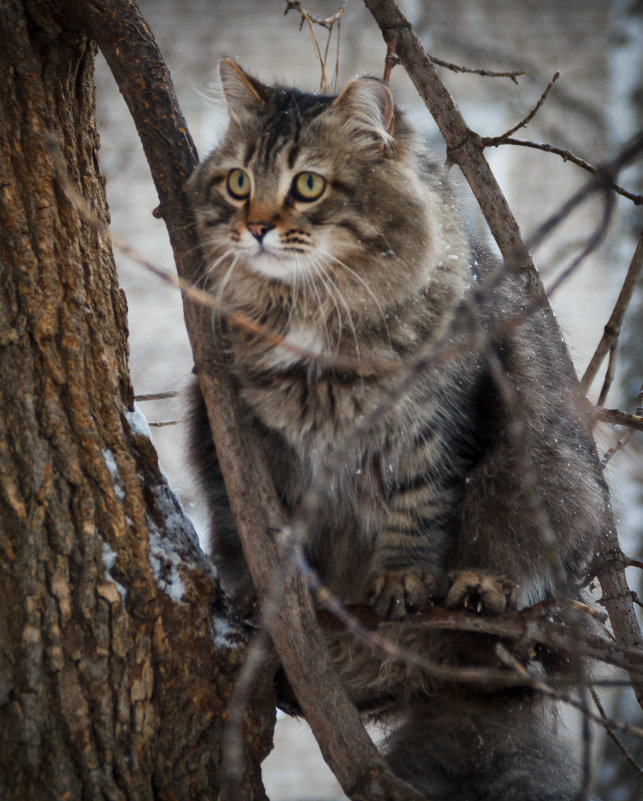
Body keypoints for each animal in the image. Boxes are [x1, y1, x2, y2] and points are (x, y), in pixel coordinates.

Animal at [189, 59, 612, 796]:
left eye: (307, 185)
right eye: (239, 182)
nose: (257, 228)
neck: (306, 312)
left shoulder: (431, 425)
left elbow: (416, 510)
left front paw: (401, 581)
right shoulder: (249, 437)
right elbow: (261, 524)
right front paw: (271, 585)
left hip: (546, 480)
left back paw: (481, 589)